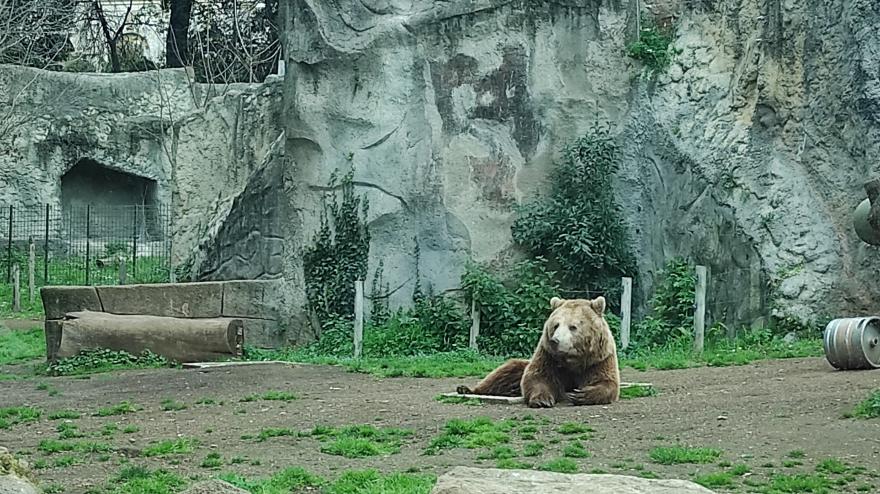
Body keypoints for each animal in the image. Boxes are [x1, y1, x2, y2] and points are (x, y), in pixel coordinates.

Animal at [460, 296, 620, 408]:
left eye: (573, 327)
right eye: (556, 325)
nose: (555, 340)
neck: (572, 359)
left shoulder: (598, 359)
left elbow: (606, 382)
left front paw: (580, 394)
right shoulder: (548, 356)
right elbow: (538, 377)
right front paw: (542, 400)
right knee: (501, 374)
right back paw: (466, 389)